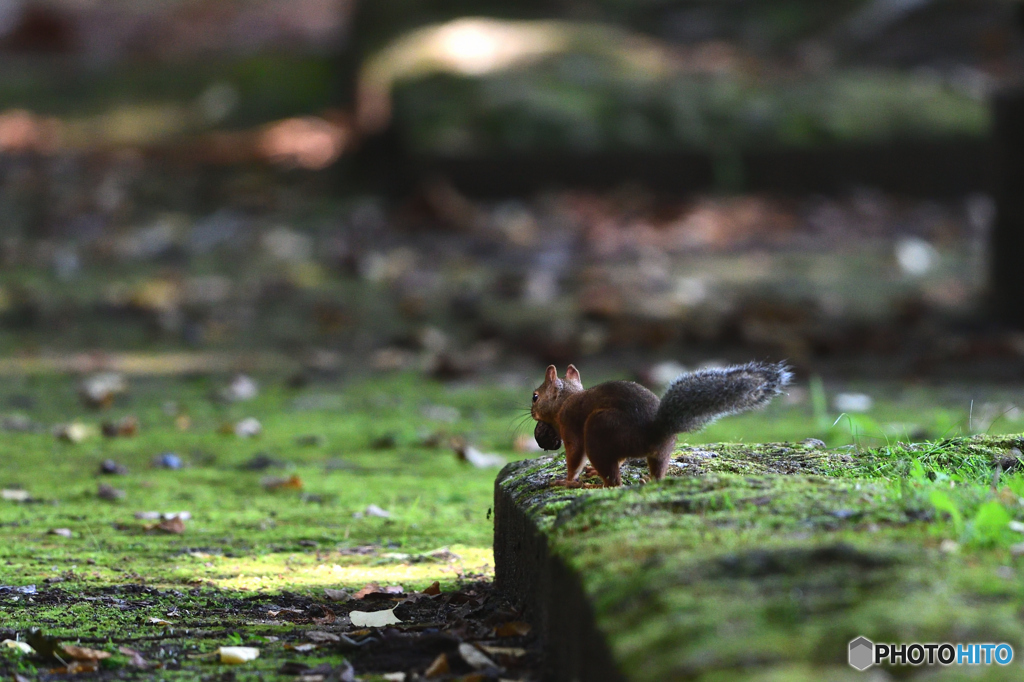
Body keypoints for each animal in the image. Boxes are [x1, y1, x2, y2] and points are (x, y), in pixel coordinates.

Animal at [532, 358, 794, 485]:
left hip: (598, 430)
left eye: (535, 396)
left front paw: (567, 480)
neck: (567, 399)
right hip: (662, 451)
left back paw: (591, 485)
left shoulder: (570, 429)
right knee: (655, 472)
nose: (532, 413)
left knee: (614, 483)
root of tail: (653, 431)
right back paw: (647, 480)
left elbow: (575, 456)